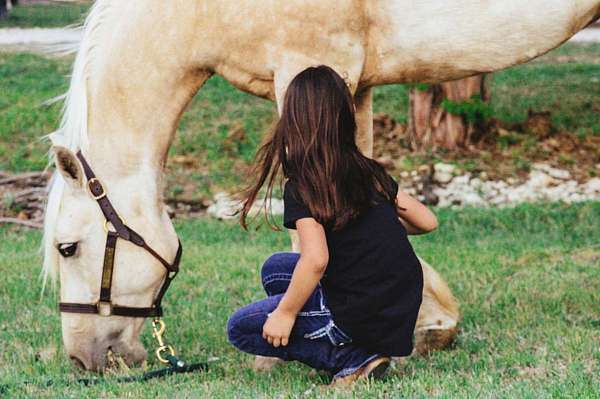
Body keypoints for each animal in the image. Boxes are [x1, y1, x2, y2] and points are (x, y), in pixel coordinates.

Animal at [43, 0, 600, 372]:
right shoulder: (358, 86)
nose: (85, 358)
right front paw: (429, 322)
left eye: (67, 247)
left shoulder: (308, 64)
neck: (208, 11)